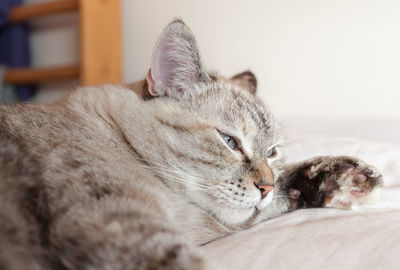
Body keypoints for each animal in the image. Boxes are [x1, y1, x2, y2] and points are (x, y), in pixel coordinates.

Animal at [0, 19, 382, 270]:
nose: (265, 187)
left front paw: (342, 180)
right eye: (230, 142)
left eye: (272, 152)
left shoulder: (198, 224)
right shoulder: (125, 229)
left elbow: (279, 196)